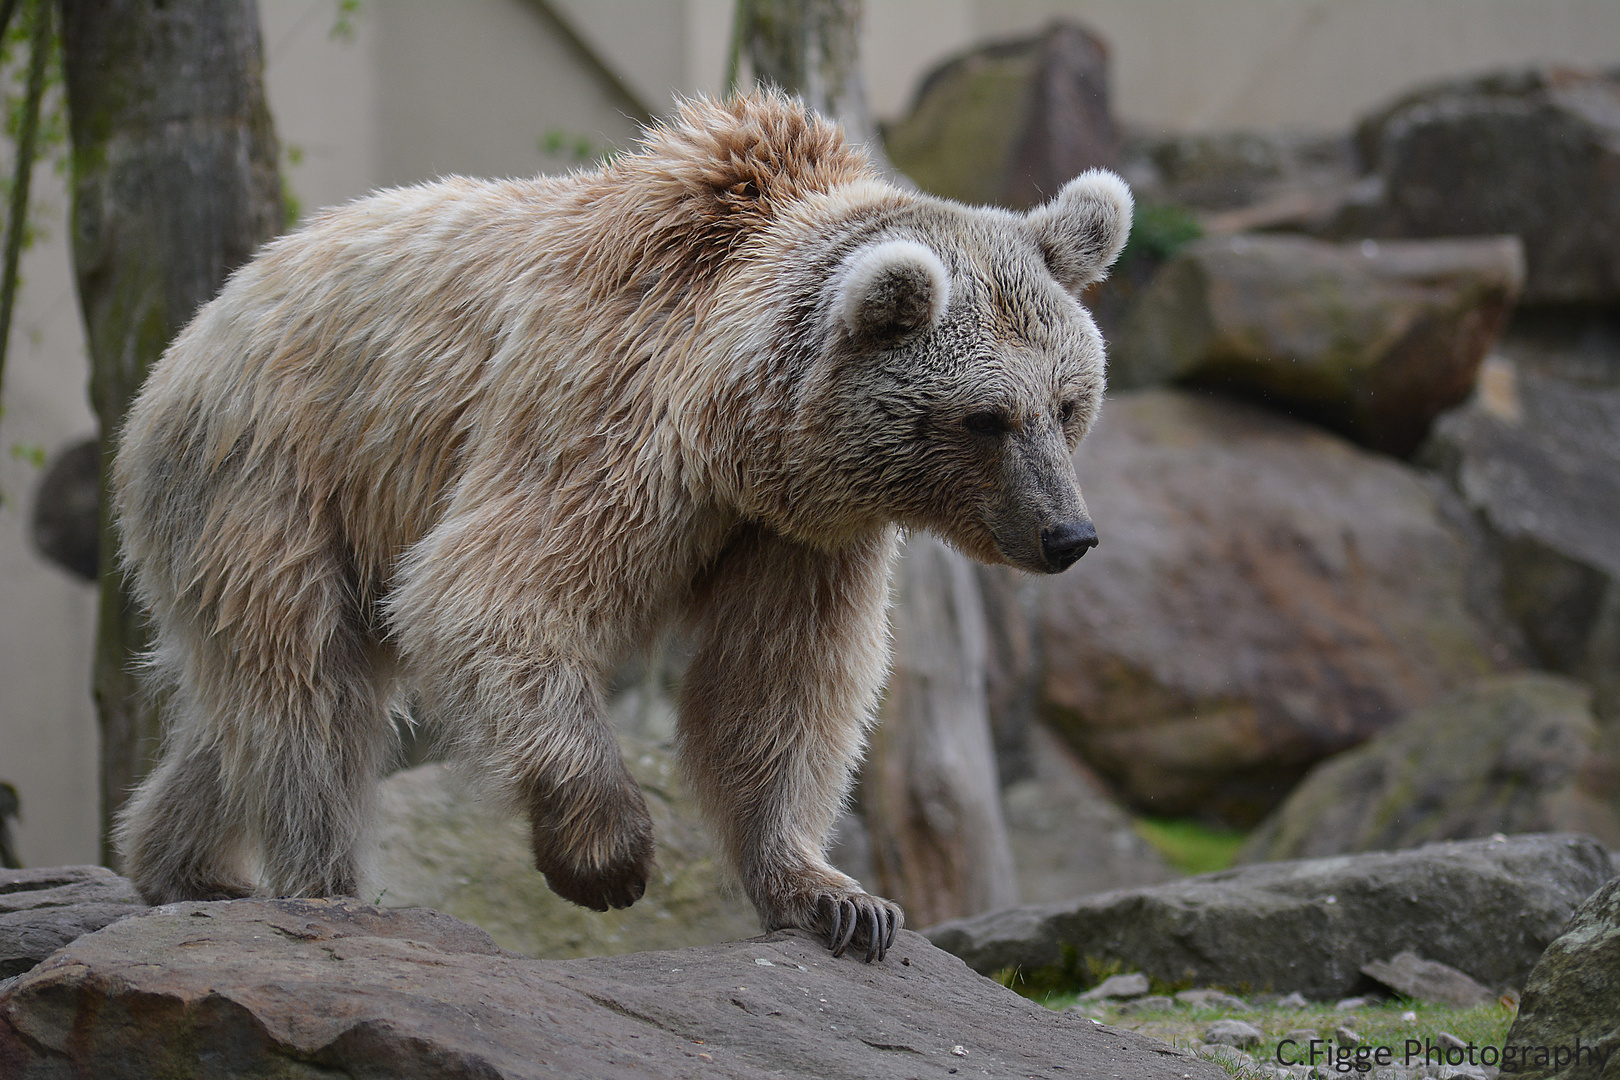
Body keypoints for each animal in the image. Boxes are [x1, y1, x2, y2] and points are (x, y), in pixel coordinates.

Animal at [114, 93, 1134, 965]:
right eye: (986, 419)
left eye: (1069, 403)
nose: (1069, 534)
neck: (740, 431)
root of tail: (209, 315)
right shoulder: (606, 418)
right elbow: (489, 593)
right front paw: (610, 856)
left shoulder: (794, 538)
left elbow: (781, 688)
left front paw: (839, 898)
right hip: (278, 474)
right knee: (306, 690)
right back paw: (322, 885)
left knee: (252, 705)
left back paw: (182, 864)